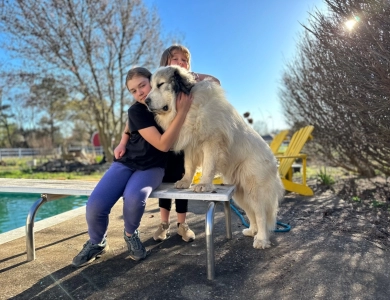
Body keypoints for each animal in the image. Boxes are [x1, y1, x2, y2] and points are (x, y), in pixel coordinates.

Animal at [145, 65, 284, 248]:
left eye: (160, 84)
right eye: (151, 86)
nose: (145, 101)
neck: (188, 106)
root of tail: (273, 160)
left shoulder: (212, 141)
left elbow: (208, 165)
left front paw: (204, 184)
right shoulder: (191, 145)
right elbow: (189, 165)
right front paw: (185, 181)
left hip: (254, 188)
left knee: (260, 214)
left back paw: (261, 239)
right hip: (240, 194)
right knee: (251, 212)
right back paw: (251, 231)